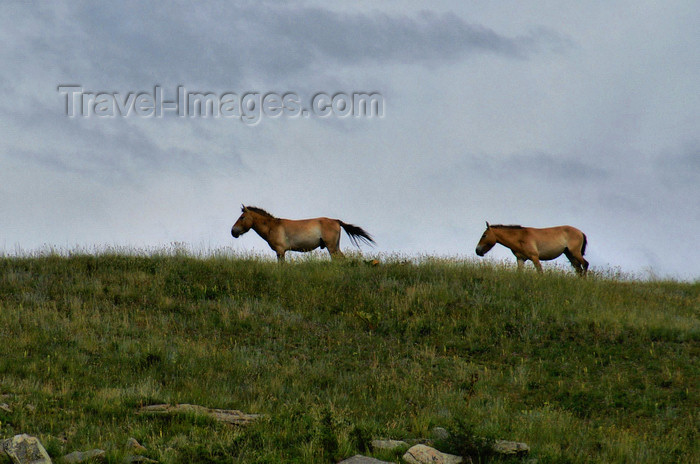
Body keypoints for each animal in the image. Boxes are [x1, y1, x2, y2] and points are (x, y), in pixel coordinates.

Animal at [231, 206, 374, 260]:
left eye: (242, 217)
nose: (233, 231)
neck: (272, 226)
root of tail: (336, 221)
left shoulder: (280, 251)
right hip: (335, 246)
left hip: (332, 247)